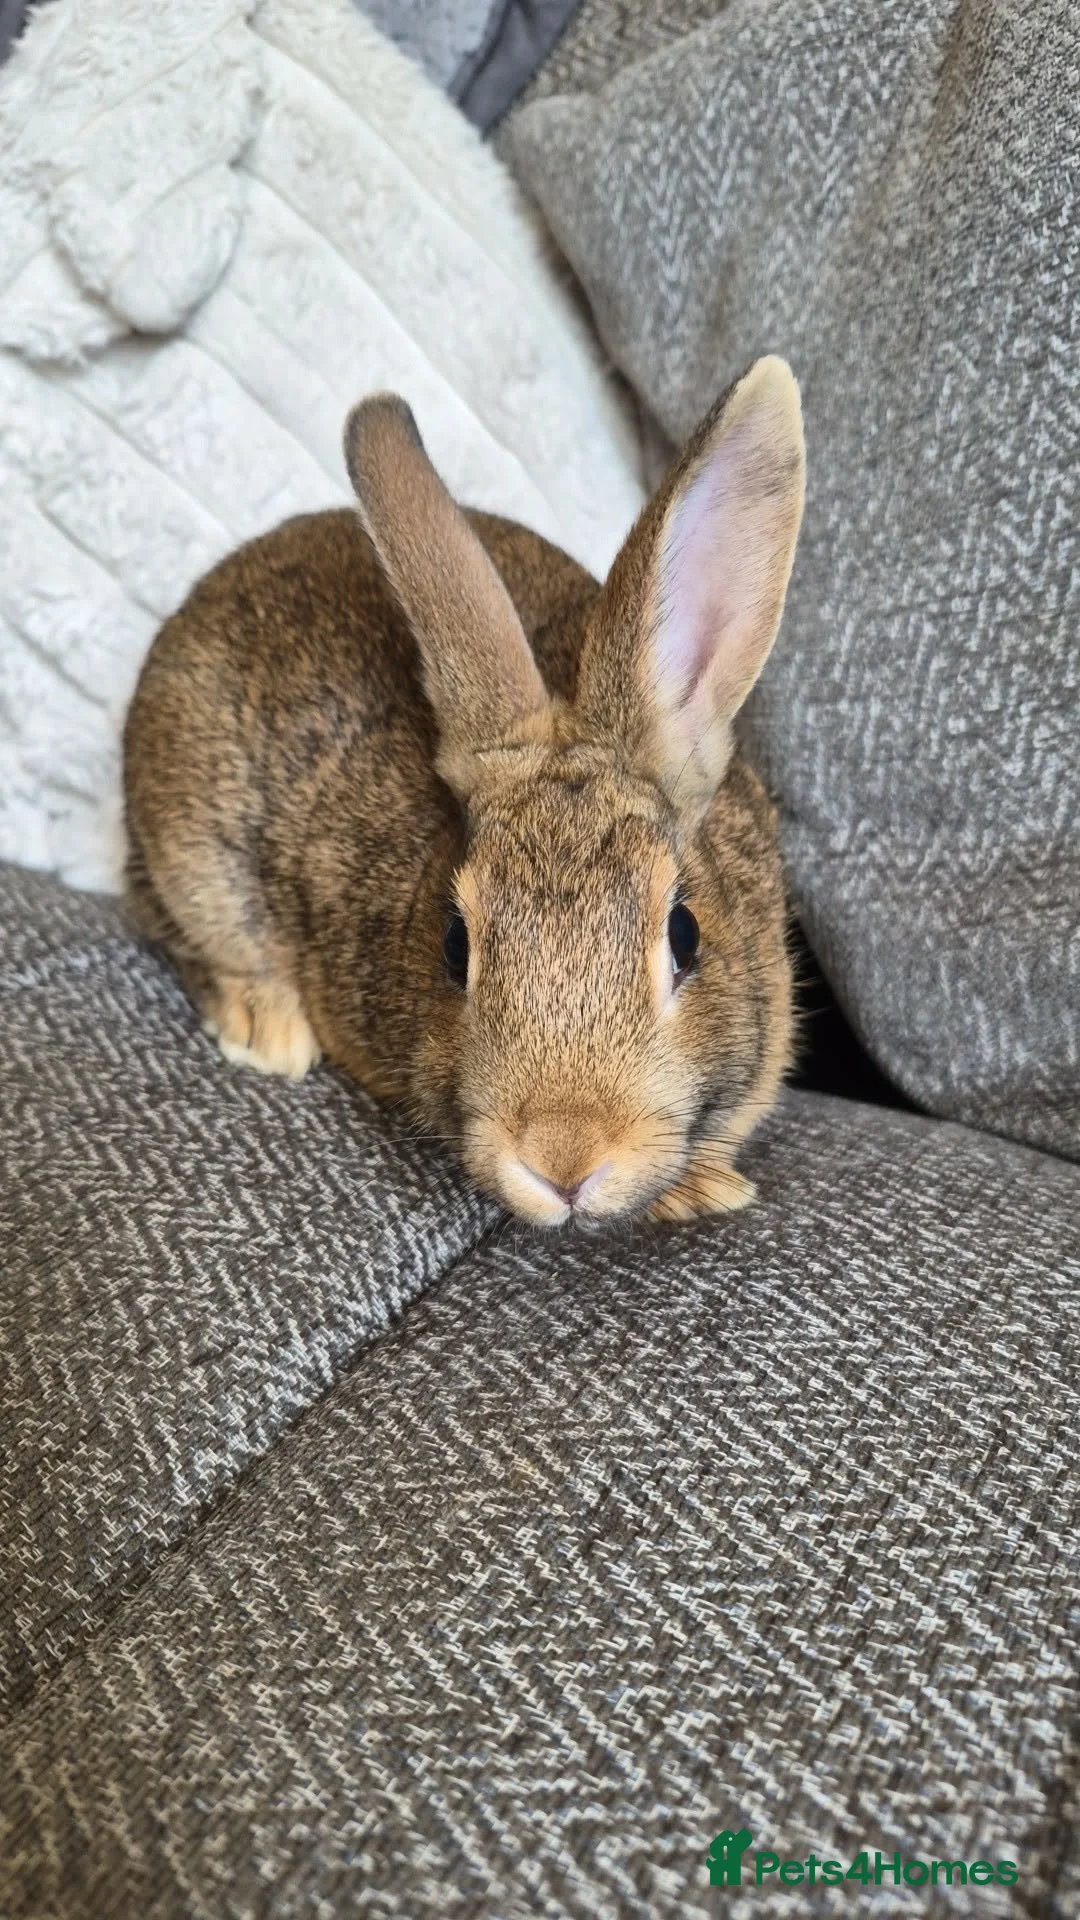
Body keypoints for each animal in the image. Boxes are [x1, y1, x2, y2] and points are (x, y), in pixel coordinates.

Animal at [123, 356, 805, 1228]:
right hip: (191, 847)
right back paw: (269, 1033)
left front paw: (705, 1187)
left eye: (685, 936)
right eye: (456, 945)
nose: (562, 1159)